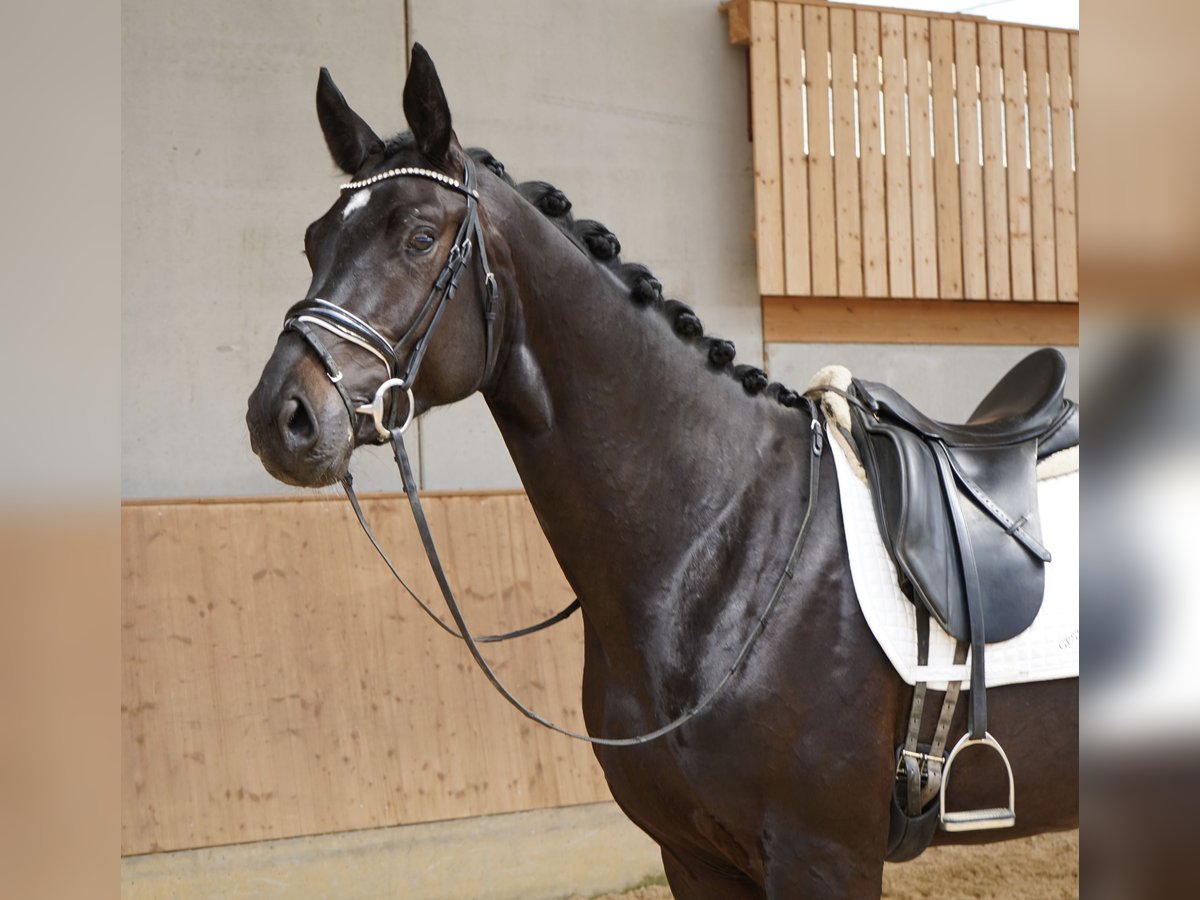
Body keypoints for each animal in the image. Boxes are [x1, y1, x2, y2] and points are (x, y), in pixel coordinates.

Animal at [243, 44, 1080, 900]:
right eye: (313, 242)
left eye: (417, 236)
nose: (282, 415)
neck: (720, 549)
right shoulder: (693, 856)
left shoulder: (824, 858)